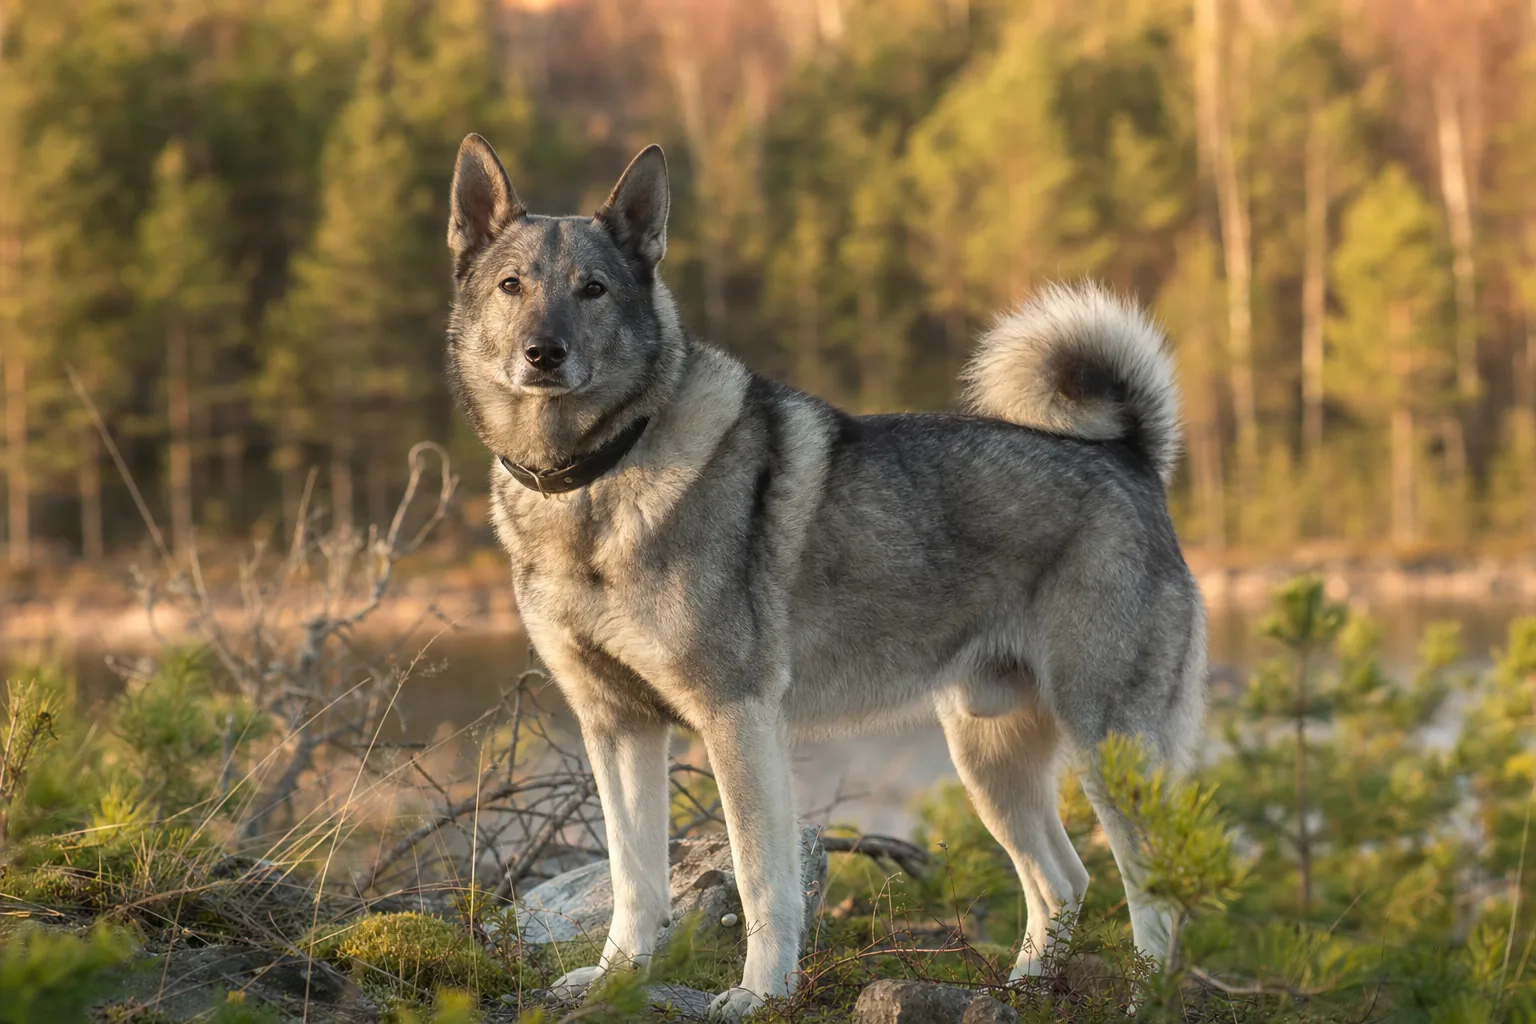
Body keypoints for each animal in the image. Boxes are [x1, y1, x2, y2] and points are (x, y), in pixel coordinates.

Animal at [445, 134, 1206, 1019]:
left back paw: (1143, 997)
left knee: (1154, 889)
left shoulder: (736, 716)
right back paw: (1026, 986)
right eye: (512, 285)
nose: (544, 353)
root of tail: (1130, 458)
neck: (597, 478)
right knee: (1063, 881)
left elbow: (760, 879)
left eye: (592, 289)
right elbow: (635, 879)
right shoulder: (617, 727)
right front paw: (616, 977)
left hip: (1108, 745)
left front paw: (759, 992)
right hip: (990, 762)